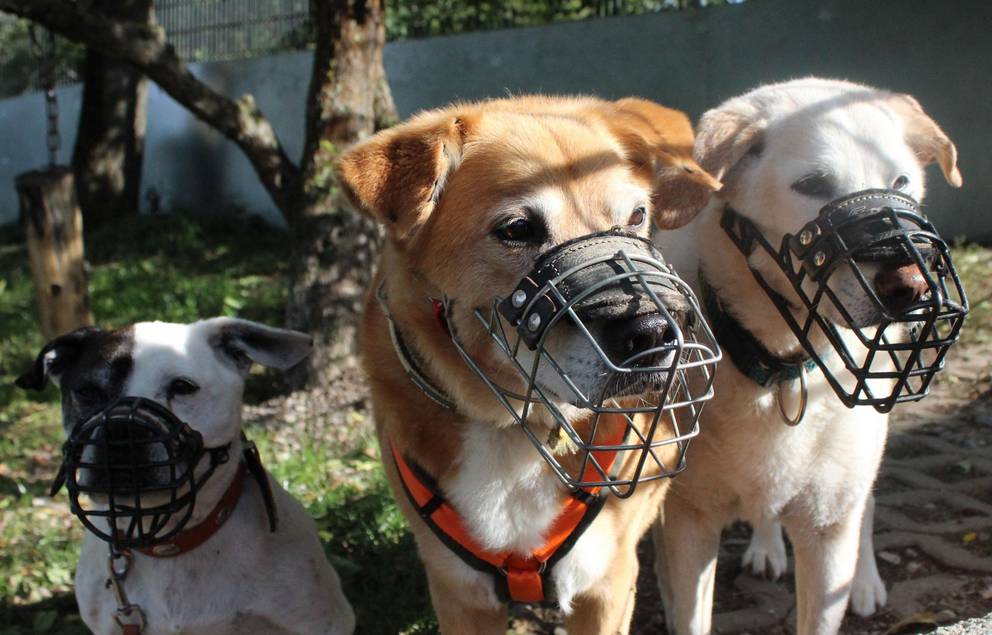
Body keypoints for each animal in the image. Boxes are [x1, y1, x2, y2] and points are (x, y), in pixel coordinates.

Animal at [338, 95, 716, 635]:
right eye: (518, 229)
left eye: (637, 215)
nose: (655, 333)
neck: (513, 428)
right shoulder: (459, 594)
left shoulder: (607, 585)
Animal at [652, 78, 960, 635]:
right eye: (813, 184)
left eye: (901, 181)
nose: (910, 287)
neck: (781, 363)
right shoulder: (687, 523)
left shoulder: (826, 527)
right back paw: (767, 545)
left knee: (867, 501)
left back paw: (864, 581)